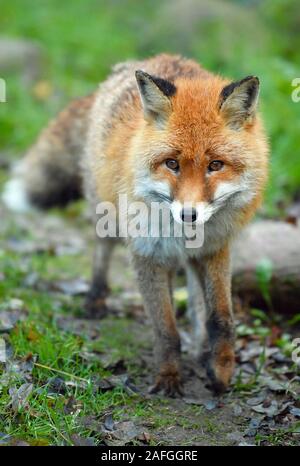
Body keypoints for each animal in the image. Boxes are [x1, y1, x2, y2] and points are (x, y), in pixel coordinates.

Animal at [2, 55, 270, 396]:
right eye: (172, 164)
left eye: (215, 165)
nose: (189, 215)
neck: (183, 236)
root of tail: (137, 62)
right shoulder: (147, 255)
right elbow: (166, 330)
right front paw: (169, 377)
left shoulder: (215, 250)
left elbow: (221, 319)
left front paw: (220, 371)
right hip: (105, 212)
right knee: (101, 250)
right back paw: (95, 298)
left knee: (195, 299)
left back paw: (199, 348)